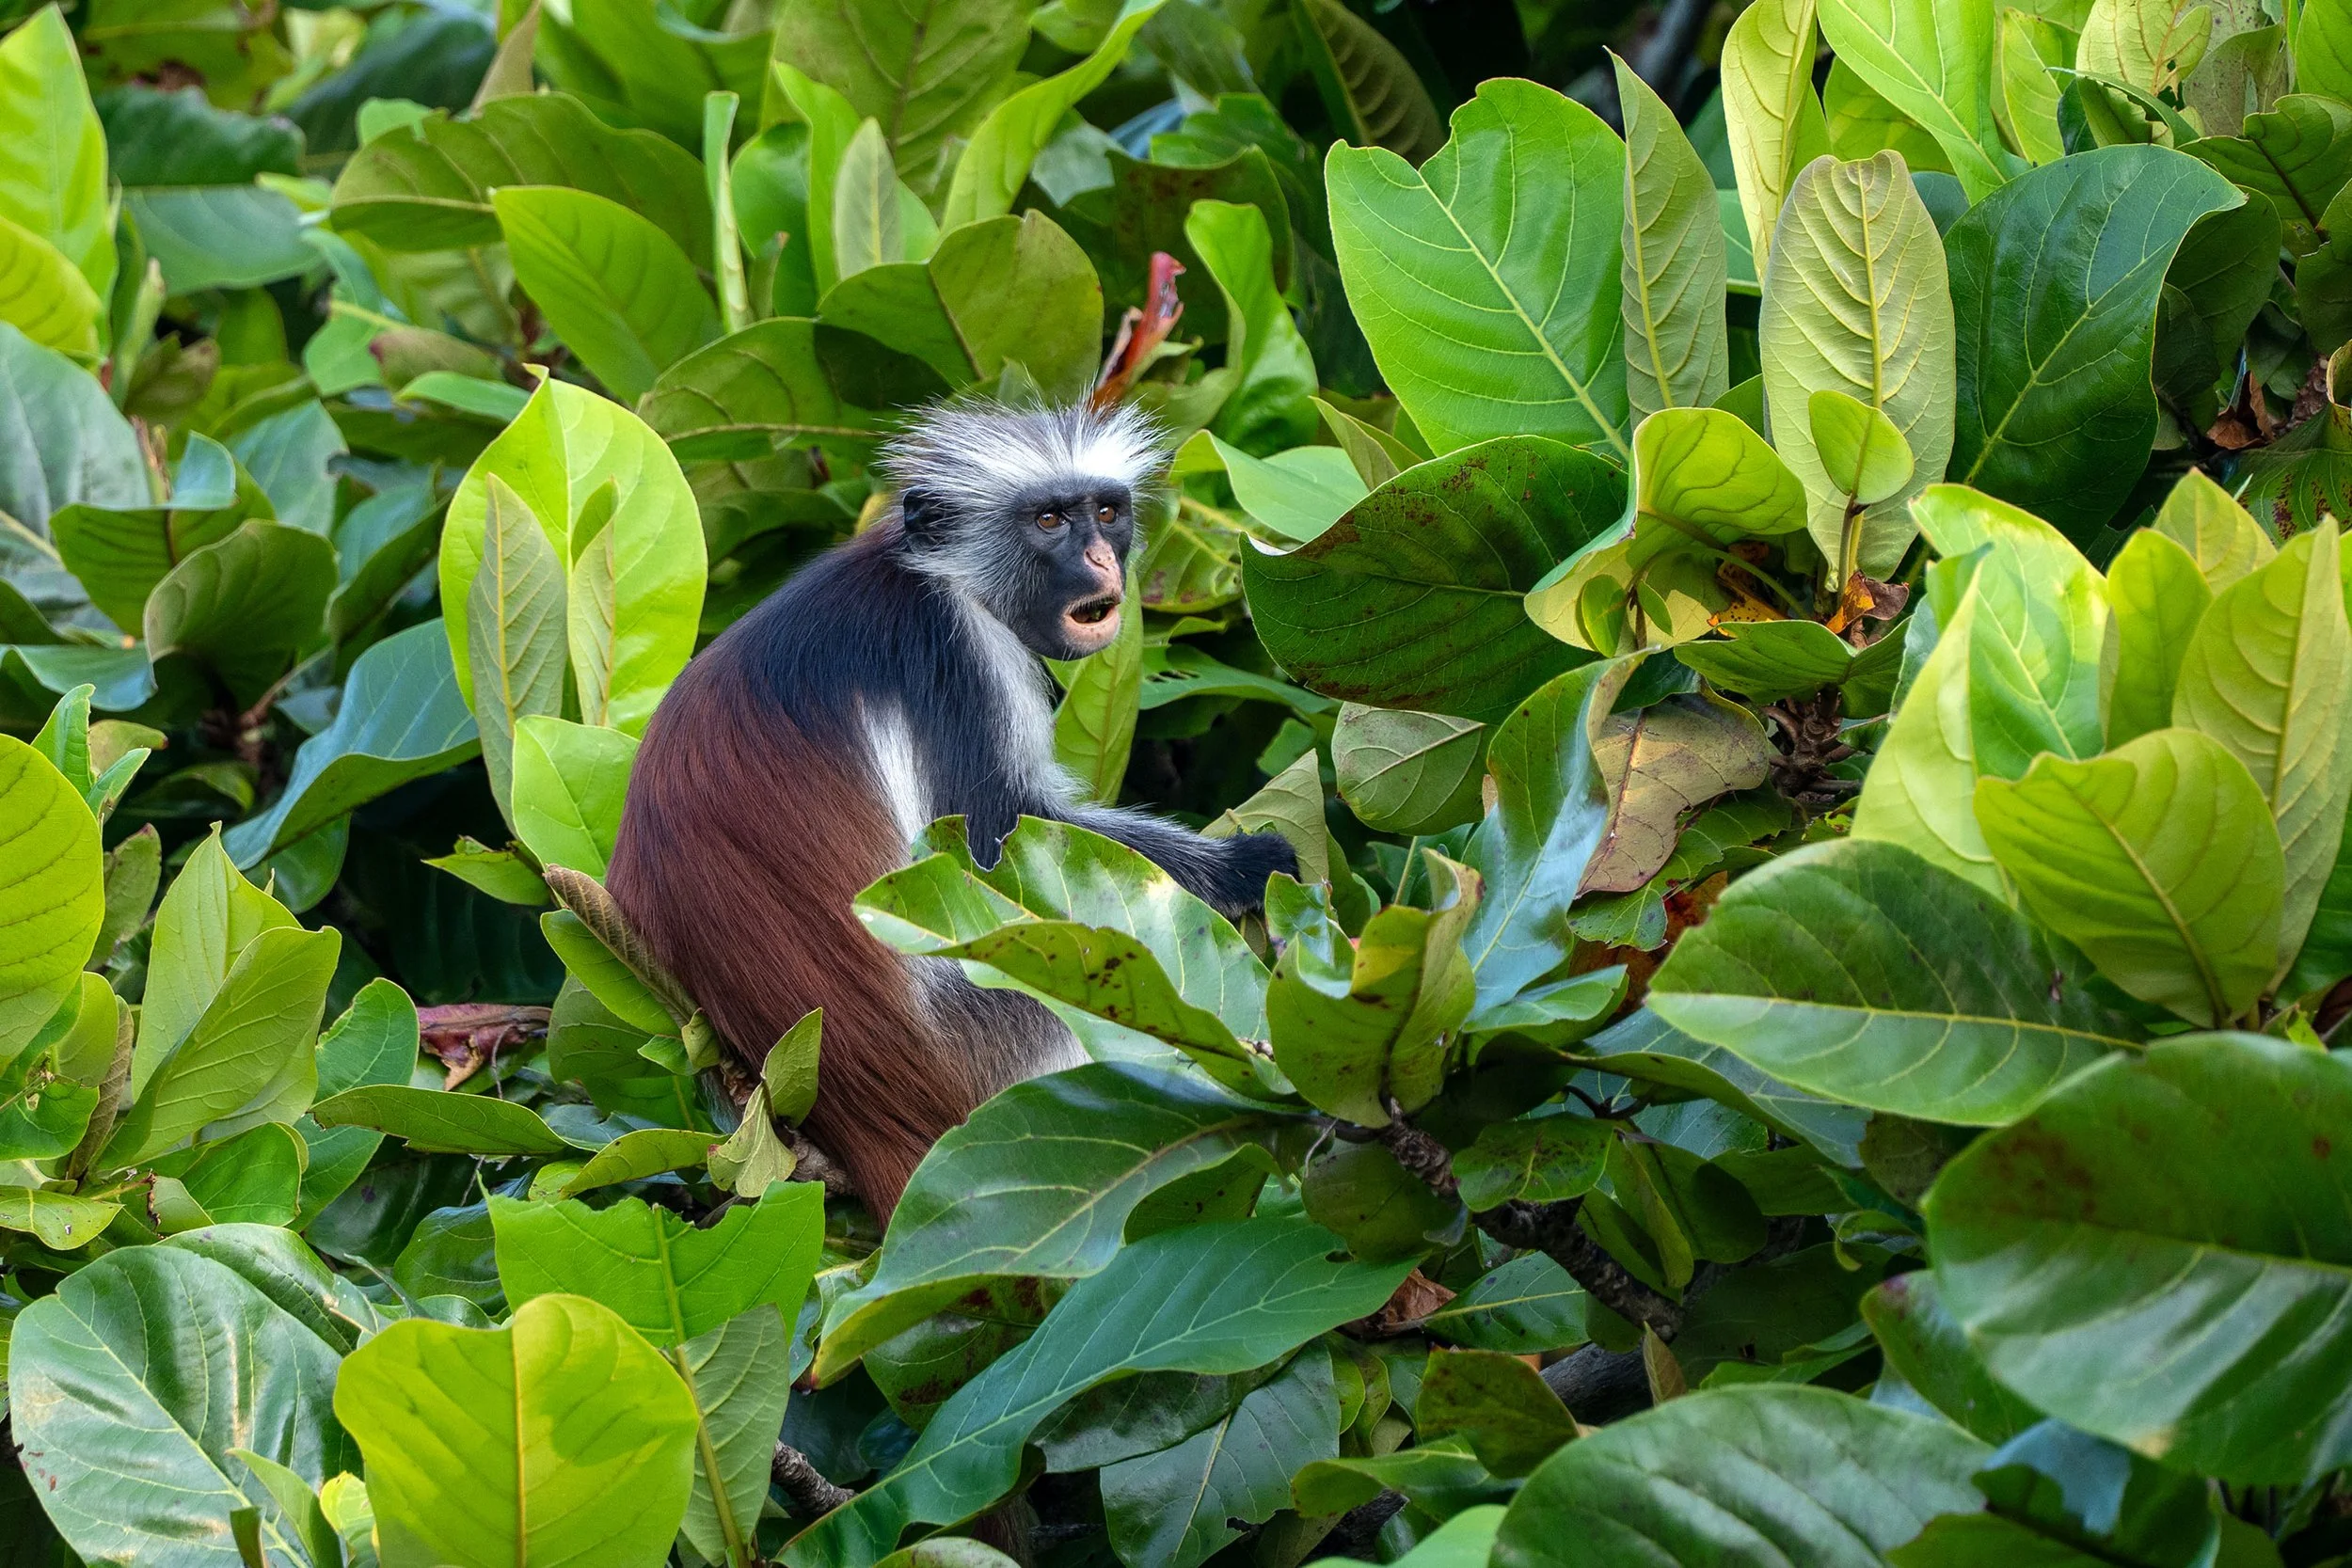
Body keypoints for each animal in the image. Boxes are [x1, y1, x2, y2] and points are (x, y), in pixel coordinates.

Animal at [606, 400, 1298, 1218]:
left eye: (1105, 513)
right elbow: (998, 832)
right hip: (1002, 1026)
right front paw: (1249, 865)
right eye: (1048, 520)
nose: (1101, 562)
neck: (928, 570)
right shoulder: (956, 649)